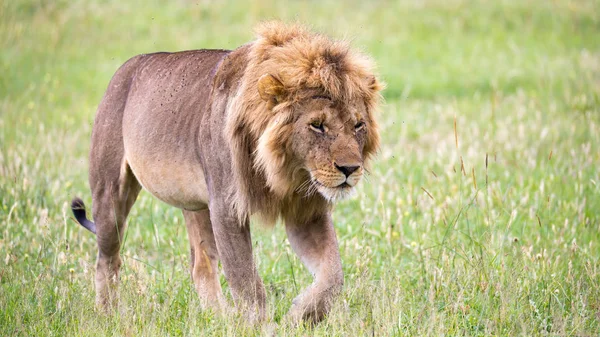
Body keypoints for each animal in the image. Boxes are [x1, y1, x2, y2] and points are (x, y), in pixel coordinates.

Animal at [70, 21, 380, 322]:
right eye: (317, 125)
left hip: (196, 205)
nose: (350, 169)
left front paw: (302, 315)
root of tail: (125, 69)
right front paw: (259, 326)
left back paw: (217, 317)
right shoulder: (227, 207)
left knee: (201, 264)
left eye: (358, 125)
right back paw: (108, 313)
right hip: (110, 192)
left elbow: (333, 275)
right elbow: (246, 280)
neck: (285, 170)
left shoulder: (305, 210)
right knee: (107, 259)